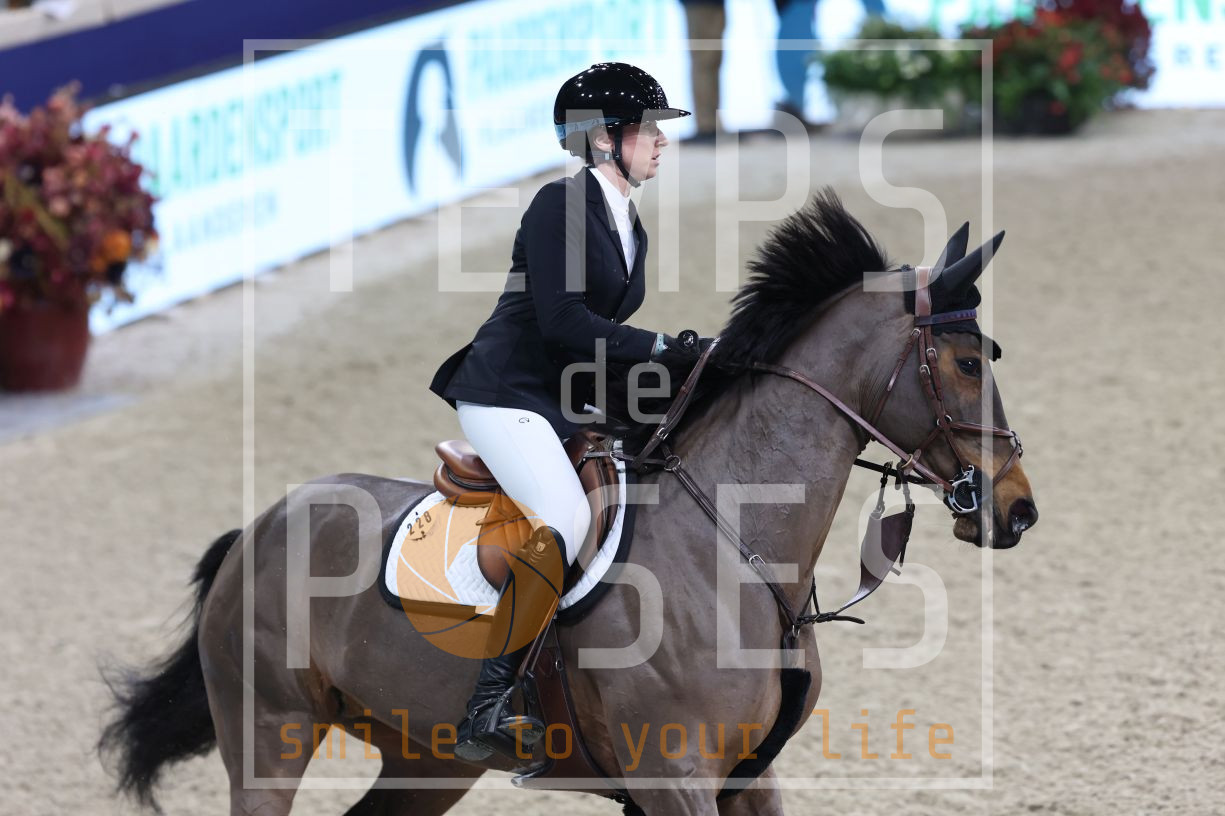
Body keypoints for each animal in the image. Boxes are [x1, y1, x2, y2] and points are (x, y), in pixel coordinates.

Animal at [100, 190, 1038, 816]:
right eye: (964, 363)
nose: (1016, 510)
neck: (731, 549)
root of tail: (257, 528)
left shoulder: (750, 776)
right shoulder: (673, 780)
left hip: (425, 760)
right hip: (272, 734)